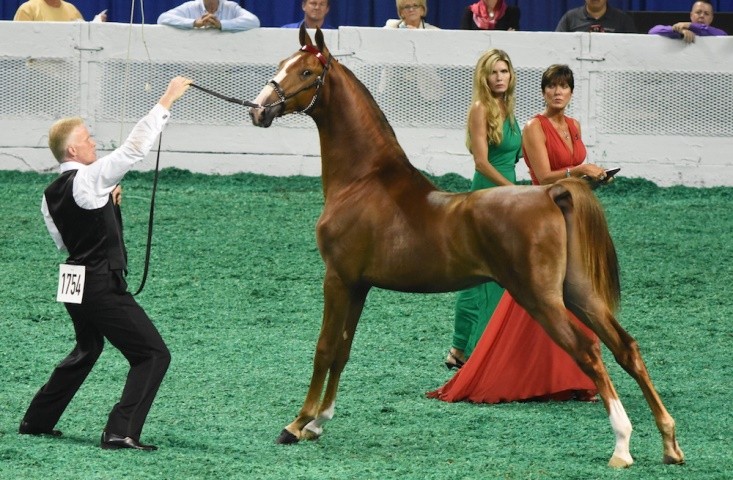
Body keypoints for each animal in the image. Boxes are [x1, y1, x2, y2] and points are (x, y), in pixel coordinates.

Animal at [248, 25, 684, 468]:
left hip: (541, 298)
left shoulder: (337, 279)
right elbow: (342, 350)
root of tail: (552, 193)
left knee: (590, 351)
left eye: (305, 72)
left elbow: (323, 348)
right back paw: (669, 442)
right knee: (626, 347)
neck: (363, 180)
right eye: (282, 64)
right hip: (577, 292)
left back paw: (622, 445)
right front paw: (319, 423)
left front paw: (296, 424)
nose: (258, 110)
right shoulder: (359, 285)